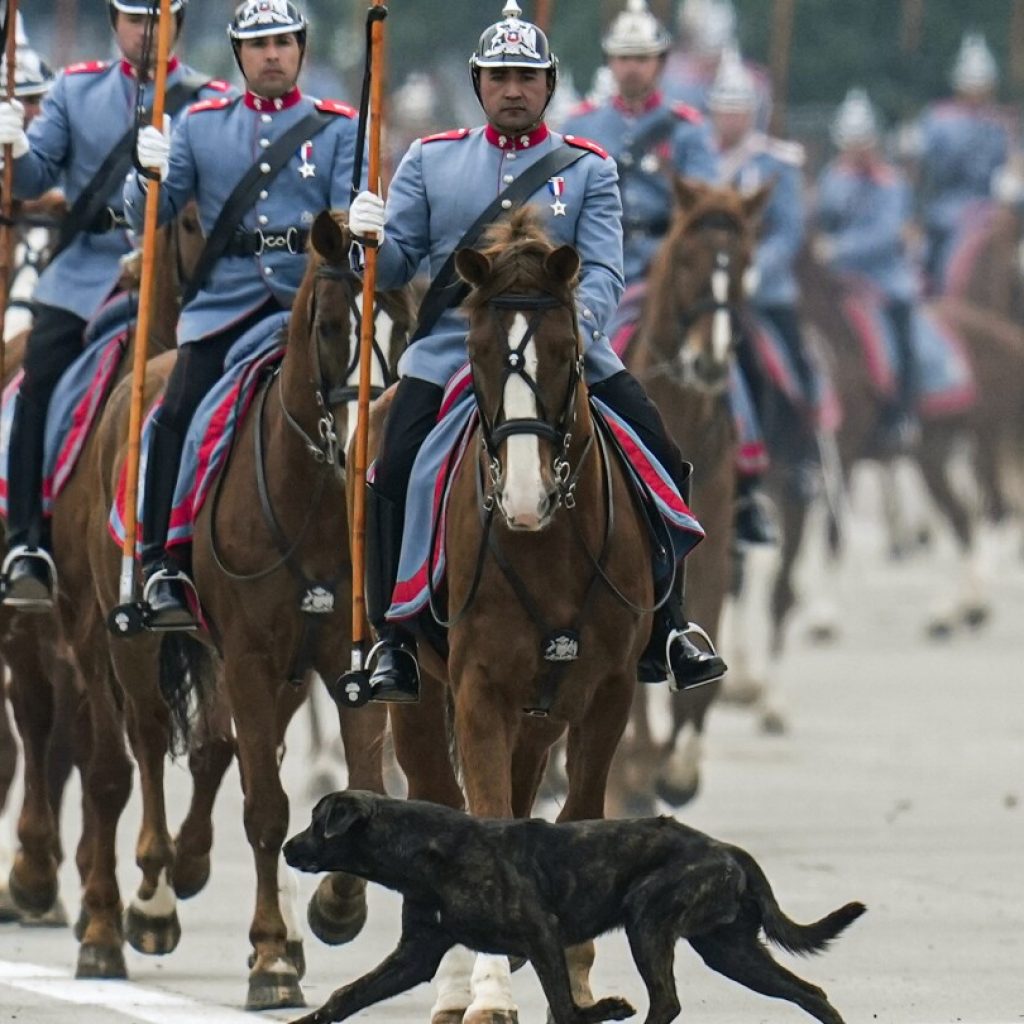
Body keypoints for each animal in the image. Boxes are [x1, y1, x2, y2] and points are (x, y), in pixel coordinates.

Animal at [82, 207, 411, 1007]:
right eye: (331, 324)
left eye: (401, 321)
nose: (363, 449)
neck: (316, 503)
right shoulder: (252, 662)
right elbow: (265, 809)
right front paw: (270, 961)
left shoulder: (342, 665)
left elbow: (359, 785)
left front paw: (333, 913)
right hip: (129, 641)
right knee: (144, 742)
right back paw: (148, 902)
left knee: (205, 749)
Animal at [286, 790, 864, 1024]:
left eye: (318, 822)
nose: (288, 849)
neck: (427, 850)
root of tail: (728, 849)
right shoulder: (415, 956)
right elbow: (345, 996)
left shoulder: (541, 935)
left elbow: (564, 1006)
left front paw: (602, 1010)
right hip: (731, 951)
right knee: (810, 992)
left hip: (648, 920)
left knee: (667, 1002)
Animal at [360, 209, 659, 1024]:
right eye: (477, 353)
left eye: (567, 352)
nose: (524, 499)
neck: (547, 545)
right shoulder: (477, 690)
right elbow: (481, 820)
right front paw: (488, 990)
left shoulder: (606, 693)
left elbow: (579, 811)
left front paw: (578, 978)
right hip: (422, 699)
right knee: (440, 798)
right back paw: (456, 982)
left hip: (543, 712)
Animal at [602, 178, 765, 815]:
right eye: (687, 261)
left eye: (743, 264)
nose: (709, 360)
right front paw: (632, 774)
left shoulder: (713, 552)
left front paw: (677, 769)